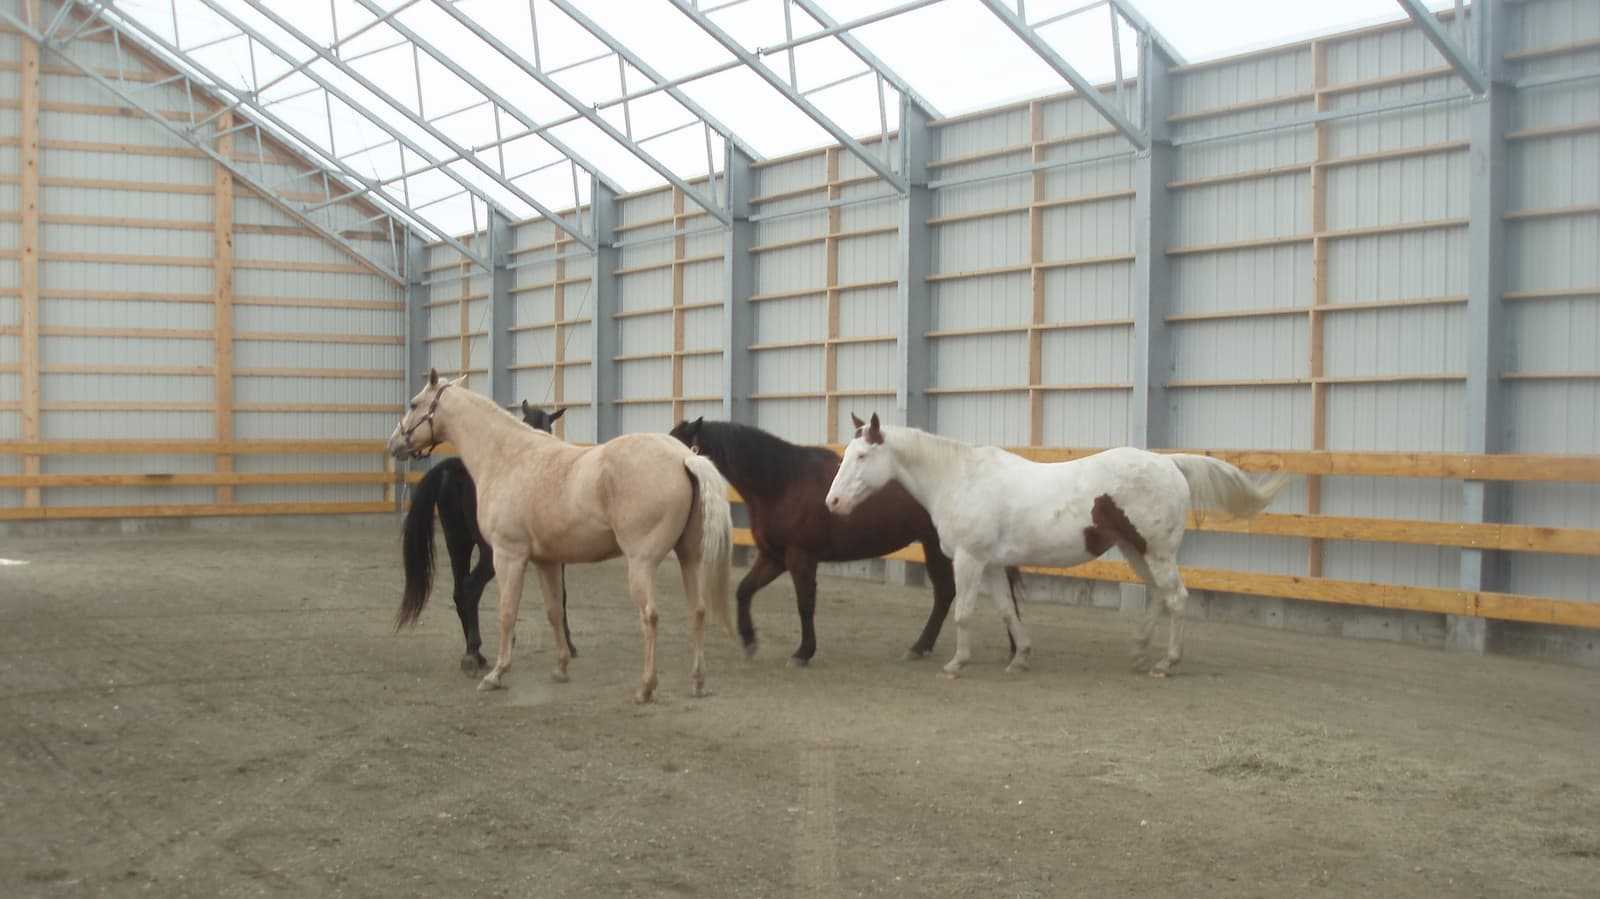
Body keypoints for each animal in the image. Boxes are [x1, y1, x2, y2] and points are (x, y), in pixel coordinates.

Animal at [395, 399, 576, 671]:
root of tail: (453, 468)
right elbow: (560, 596)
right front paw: (569, 644)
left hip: (457, 541)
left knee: (460, 590)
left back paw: (474, 652)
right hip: (486, 551)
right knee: (471, 588)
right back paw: (473, 650)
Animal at [665, 415, 1024, 662]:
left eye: (682, 447)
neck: (782, 483)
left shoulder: (800, 557)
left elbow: (805, 604)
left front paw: (803, 652)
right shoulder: (774, 557)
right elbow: (743, 591)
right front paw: (750, 640)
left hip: (941, 548)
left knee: (950, 593)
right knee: (949, 593)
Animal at [825, 415, 1286, 675]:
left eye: (863, 457)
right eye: (847, 453)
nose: (833, 503)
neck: (961, 478)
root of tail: (1167, 461)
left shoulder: (971, 561)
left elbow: (964, 612)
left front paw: (956, 663)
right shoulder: (992, 564)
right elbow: (1007, 611)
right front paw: (1020, 658)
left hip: (1156, 552)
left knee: (1176, 599)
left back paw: (1166, 663)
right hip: (1136, 552)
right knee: (1159, 596)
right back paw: (1139, 653)